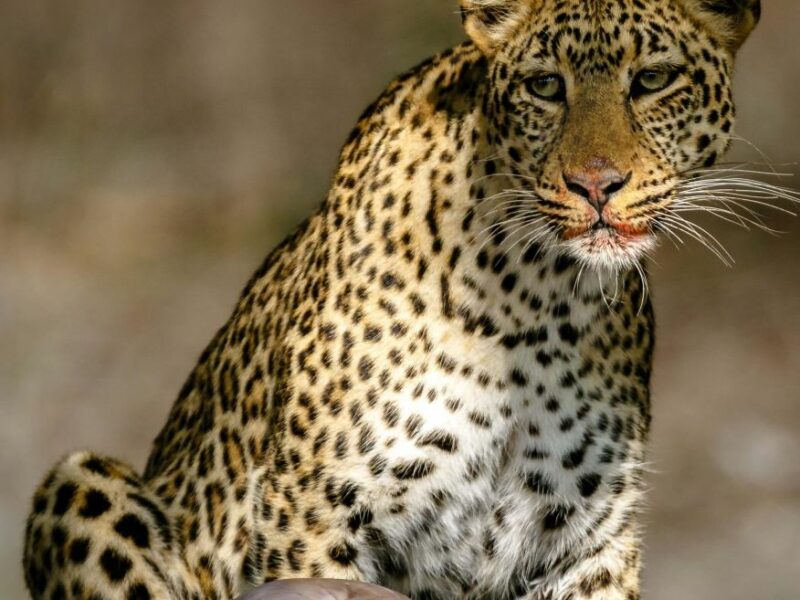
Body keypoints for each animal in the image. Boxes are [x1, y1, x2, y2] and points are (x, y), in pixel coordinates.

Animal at [23, 1, 763, 599]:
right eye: (545, 86)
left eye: (654, 80)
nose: (596, 184)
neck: (538, 303)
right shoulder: (313, 514)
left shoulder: (590, 541)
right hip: (82, 481)